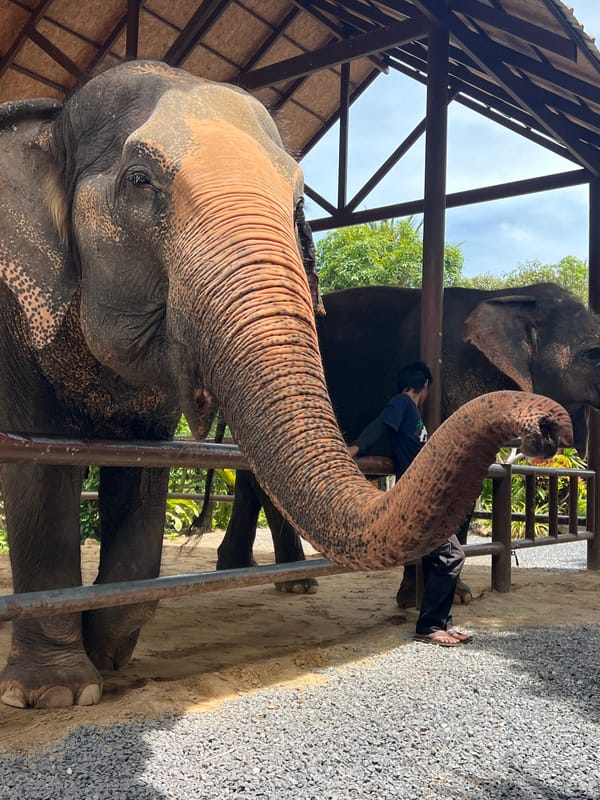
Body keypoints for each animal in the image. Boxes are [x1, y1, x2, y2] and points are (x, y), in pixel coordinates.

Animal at [217, 283, 600, 596]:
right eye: (593, 354)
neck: (508, 295)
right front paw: (420, 596)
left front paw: (458, 595)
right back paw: (297, 582)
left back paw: (242, 568)